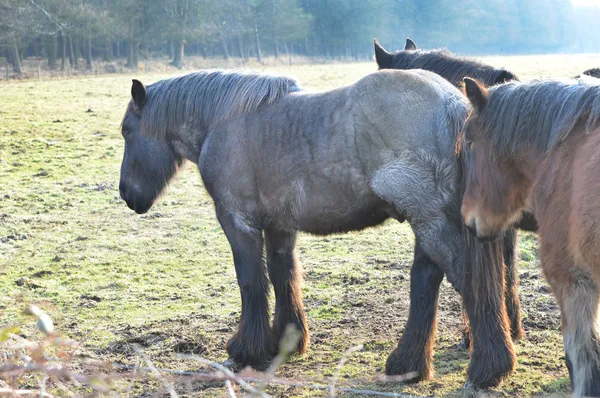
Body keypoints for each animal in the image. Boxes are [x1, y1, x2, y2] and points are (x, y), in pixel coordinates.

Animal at [119, 69, 512, 388]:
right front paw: (286, 341)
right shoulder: (279, 226)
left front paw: (246, 350)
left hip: (430, 222)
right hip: (428, 224)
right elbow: (283, 276)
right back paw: (408, 366)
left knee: (470, 283)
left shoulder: (238, 221)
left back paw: (488, 370)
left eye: (126, 131)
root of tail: (453, 104)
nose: (125, 193)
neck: (224, 120)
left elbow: (251, 282)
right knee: (426, 285)